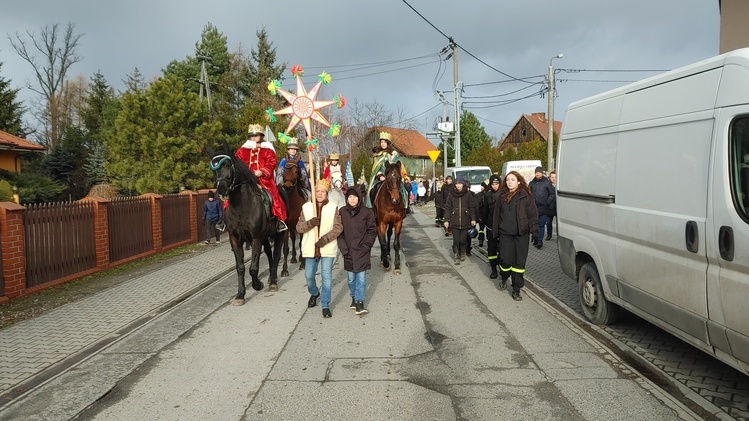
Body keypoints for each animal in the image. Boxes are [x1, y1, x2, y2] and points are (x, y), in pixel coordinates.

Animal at [209, 143, 284, 304]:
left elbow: (253, 268)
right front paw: (240, 294)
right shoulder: (235, 239)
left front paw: (257, 284)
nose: (221, 189)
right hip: (265, 237)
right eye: (213, 168)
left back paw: (273, 281)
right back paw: (270, 278)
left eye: (228, 164)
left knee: (276, 255)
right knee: (269, 254)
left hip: (280, 234)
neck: (241, 207)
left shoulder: (255, 238)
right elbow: (241, 267)